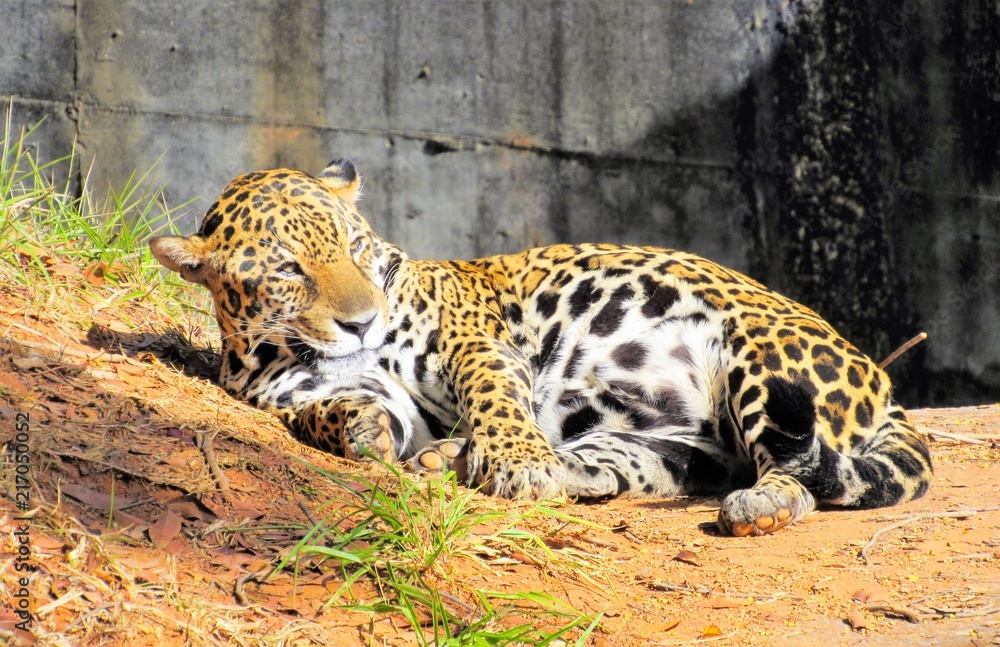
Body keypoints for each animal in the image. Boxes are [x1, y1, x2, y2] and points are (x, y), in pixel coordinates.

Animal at [150, 158, 932, 536]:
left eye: (355, 246)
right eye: (290, 270)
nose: (362, 322)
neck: (283, 350)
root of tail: (880, 380)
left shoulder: (473, 339)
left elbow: (495, 393)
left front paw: (516, 462)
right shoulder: (312, 392)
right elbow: (330, 413)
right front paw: (361, 426)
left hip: (756, 357)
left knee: (800, 474)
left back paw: (760, 504)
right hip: (670, 448)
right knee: (618, 468)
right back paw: (458, 460)